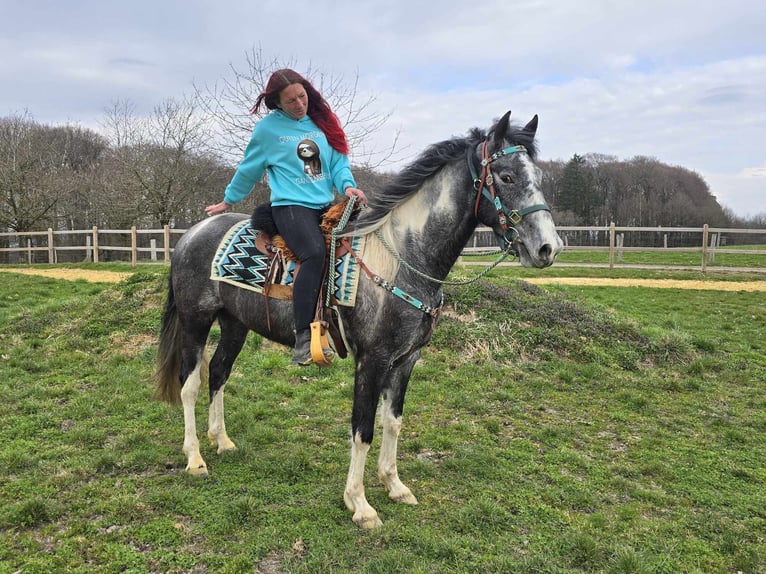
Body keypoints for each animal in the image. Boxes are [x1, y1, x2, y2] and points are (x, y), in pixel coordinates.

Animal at [154, 110, 563, 529]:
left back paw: (222, 441)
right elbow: (363, 428)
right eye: (507, 177)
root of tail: (192, 233)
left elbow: (392, 422)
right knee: (190, 384)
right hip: (195, 322)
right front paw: (360, 504)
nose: (548, 248)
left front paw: (394, 485)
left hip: (235, 324)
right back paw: (195, 458)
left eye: (538, 176)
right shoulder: (373, 360)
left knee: (219, 373)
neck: (404, 258)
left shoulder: (406, 360)